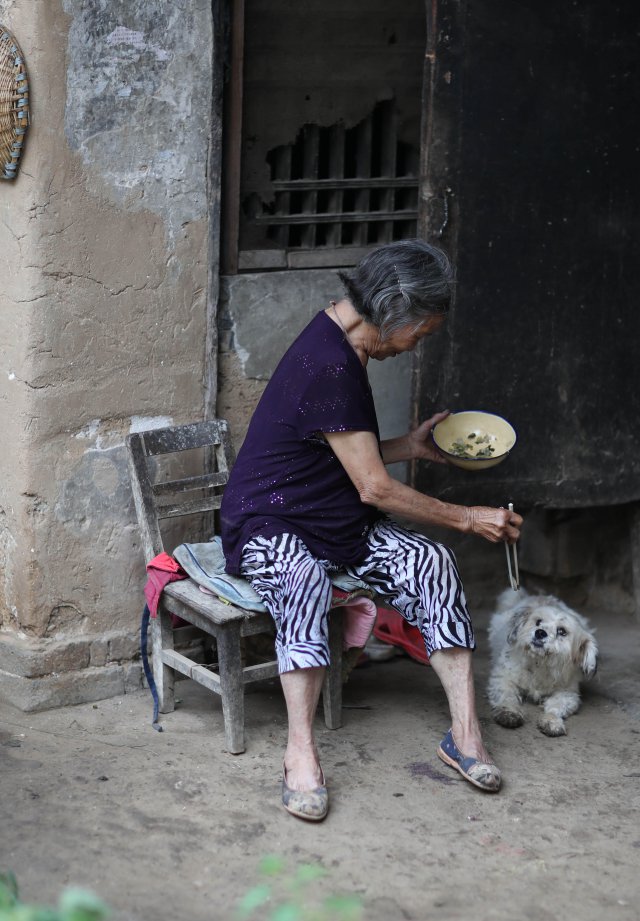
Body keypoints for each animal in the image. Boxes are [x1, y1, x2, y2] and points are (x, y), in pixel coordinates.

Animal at [488, 588, 596, 732]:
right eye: (538, 622)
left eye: (562, 631)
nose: (540, 632)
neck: (539, 664)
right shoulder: (503, 679)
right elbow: (507, 696)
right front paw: (509, 712)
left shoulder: (568, 693)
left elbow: (555, 706)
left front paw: (551, 720)